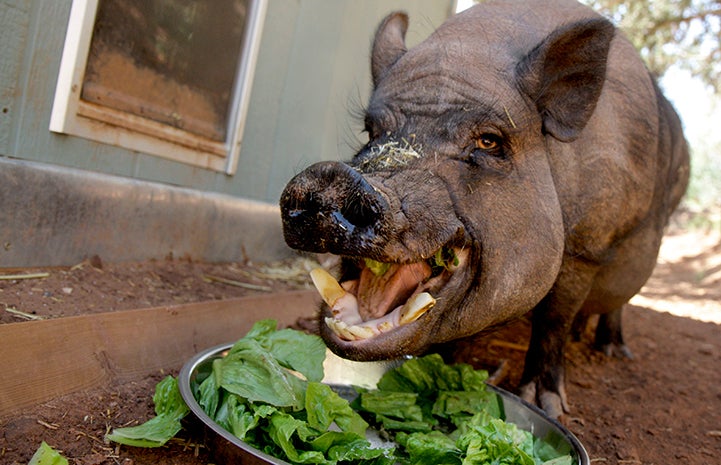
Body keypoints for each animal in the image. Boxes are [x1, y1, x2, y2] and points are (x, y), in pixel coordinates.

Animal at [279, 0, 689, 419]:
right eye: (371, 132)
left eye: (489, 141)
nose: (331, 177)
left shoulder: (585, 248)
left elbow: (553, 321)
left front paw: (546, 406)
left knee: (616, 305)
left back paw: (613, 351)